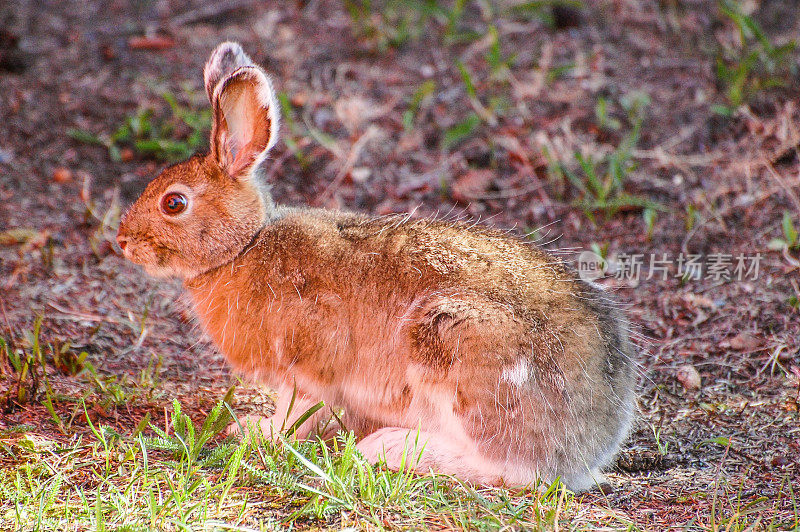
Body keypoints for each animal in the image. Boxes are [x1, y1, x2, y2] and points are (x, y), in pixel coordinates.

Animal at [115, 41, 636, 490]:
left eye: (174, 203)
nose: (122, 242)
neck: (244, 246)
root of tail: (591, 440)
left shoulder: (308, 364)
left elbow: (295, 413)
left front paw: (257, 430)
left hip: (457, 346)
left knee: (513, 469)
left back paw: (390, 449)